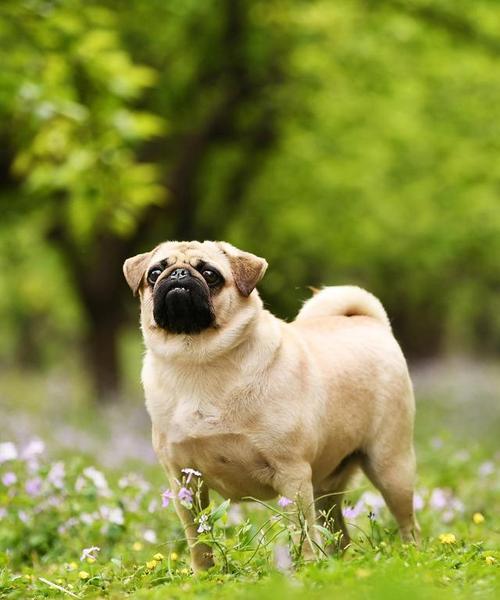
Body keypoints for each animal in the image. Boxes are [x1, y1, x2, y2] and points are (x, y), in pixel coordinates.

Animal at [124, 240, 418, 572]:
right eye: (155, 273)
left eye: (210, 275)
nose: (178, 274)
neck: (199, 361)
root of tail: (369, 323)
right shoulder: (184, 480)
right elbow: (198, 538)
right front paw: (204, 574)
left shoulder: (292, 472)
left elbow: (301, 531)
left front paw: (305, 567)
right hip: (325, 486)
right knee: (337, 530)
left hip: (390, 465)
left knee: (408, 523)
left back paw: (412, 556)